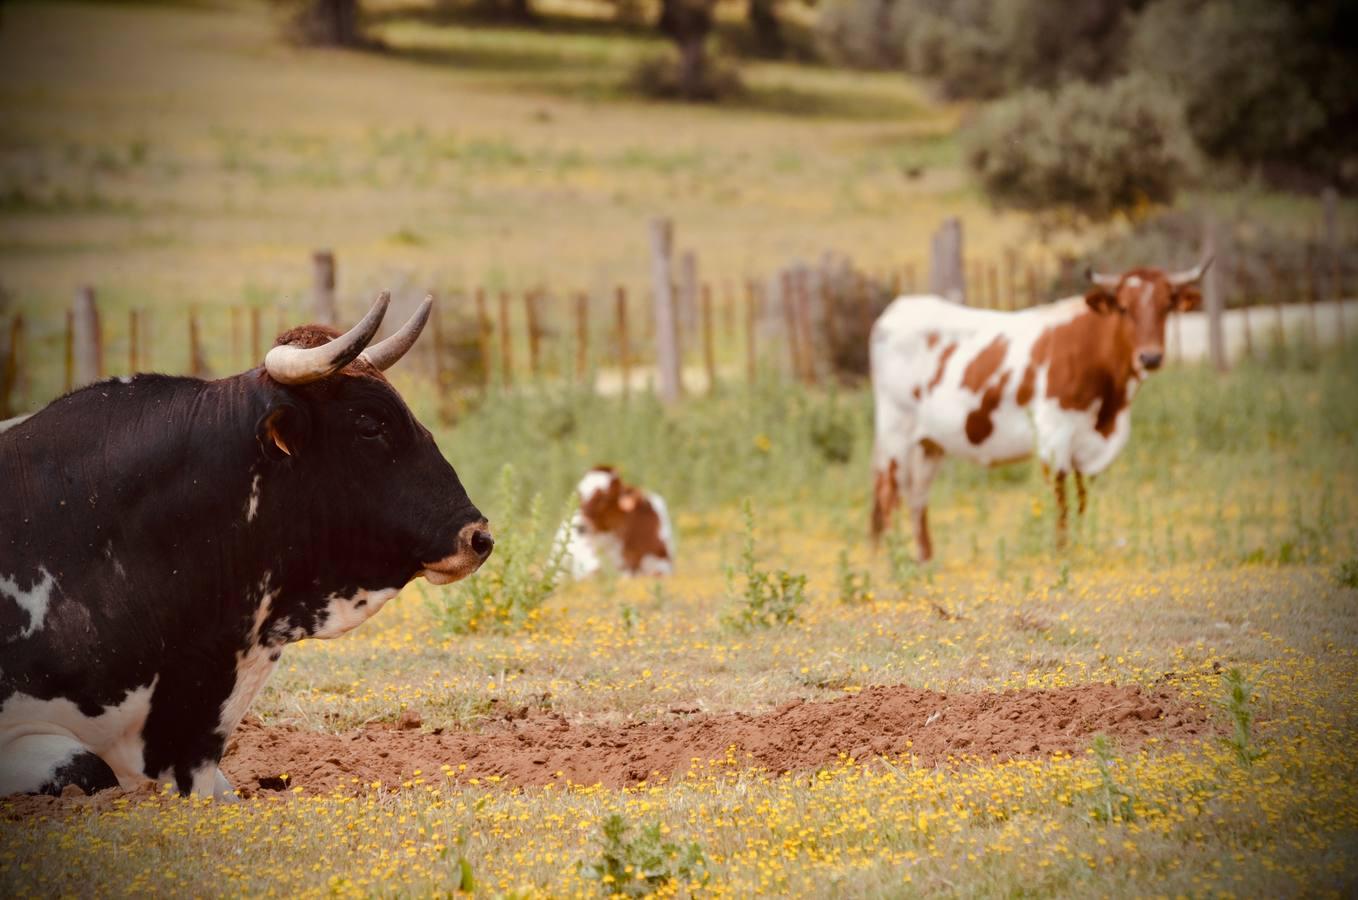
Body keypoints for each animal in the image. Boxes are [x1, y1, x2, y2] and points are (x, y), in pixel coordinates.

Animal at [869, 256, 1211, 559]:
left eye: (1166, 307)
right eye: (1124, 308)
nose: (1150, 357)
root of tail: (901, 307)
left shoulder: (1090, 450)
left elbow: (1082, 500)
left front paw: (1081, 544)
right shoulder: (1053, 437)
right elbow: (1061, 502)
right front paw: (1061, 553)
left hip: (930, 444)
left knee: (916, 497)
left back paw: (925, 561)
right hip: (895, 432)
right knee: (887, 493)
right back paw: (887, 560)